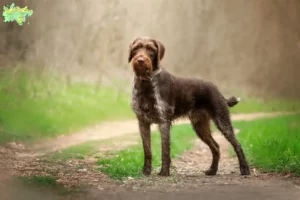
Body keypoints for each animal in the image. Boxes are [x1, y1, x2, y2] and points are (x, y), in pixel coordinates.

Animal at [127, 36, 250, 177]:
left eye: (150, 49)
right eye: (136, 48)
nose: (140, 60)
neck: (146, 82)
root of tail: (217, 90)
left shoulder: (164, 121)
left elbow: (165, 150)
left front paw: (164, 172)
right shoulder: (143, 122)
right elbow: (147, 150)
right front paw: (146, 171)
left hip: (222, 120)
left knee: (237, 144)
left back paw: (244, 169)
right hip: (200, 126)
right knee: (216, 146)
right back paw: (212, 170)